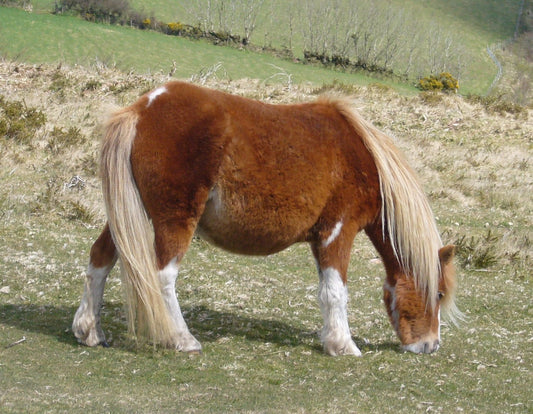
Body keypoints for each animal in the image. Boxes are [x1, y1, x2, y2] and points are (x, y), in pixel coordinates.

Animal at [71, 81, 458, 356]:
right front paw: (343, 345)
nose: (430, 346)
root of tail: (142, 108)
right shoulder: (339, 232)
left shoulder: (321, 238)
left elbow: (325, 291)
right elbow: (336, 291)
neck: (363, 159)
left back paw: (89, 331)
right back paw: (181, 339)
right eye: (438, 293)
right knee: (162, 277)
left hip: (132, 215)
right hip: (173, 221)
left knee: (100, 259)